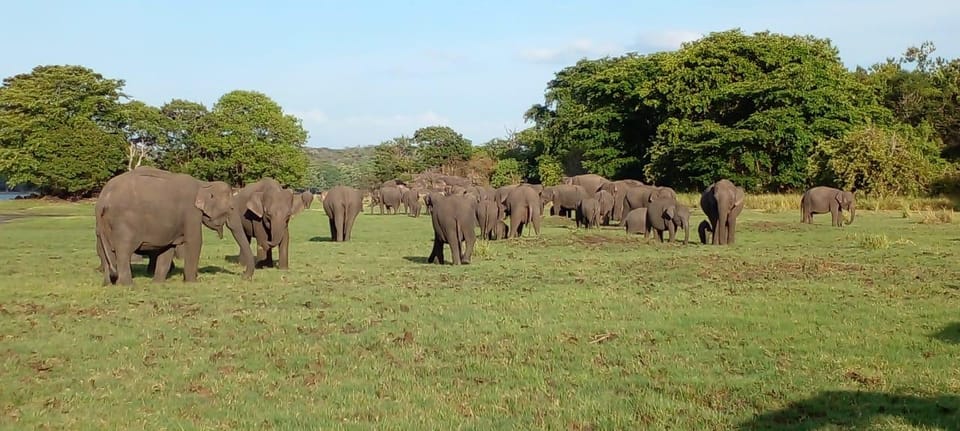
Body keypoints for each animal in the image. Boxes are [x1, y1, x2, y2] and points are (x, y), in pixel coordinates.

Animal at [93, 166, 234, 286]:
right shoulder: (191, 212)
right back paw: (127, 285)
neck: (203, 184)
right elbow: (195, 241)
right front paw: (192, 283)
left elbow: (168, 248)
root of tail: (103, 199)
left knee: (105, 252)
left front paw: (157, 283)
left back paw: (108, 284)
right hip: (125, 223)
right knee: (123, 250)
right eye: (231, 208)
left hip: (102, 226)